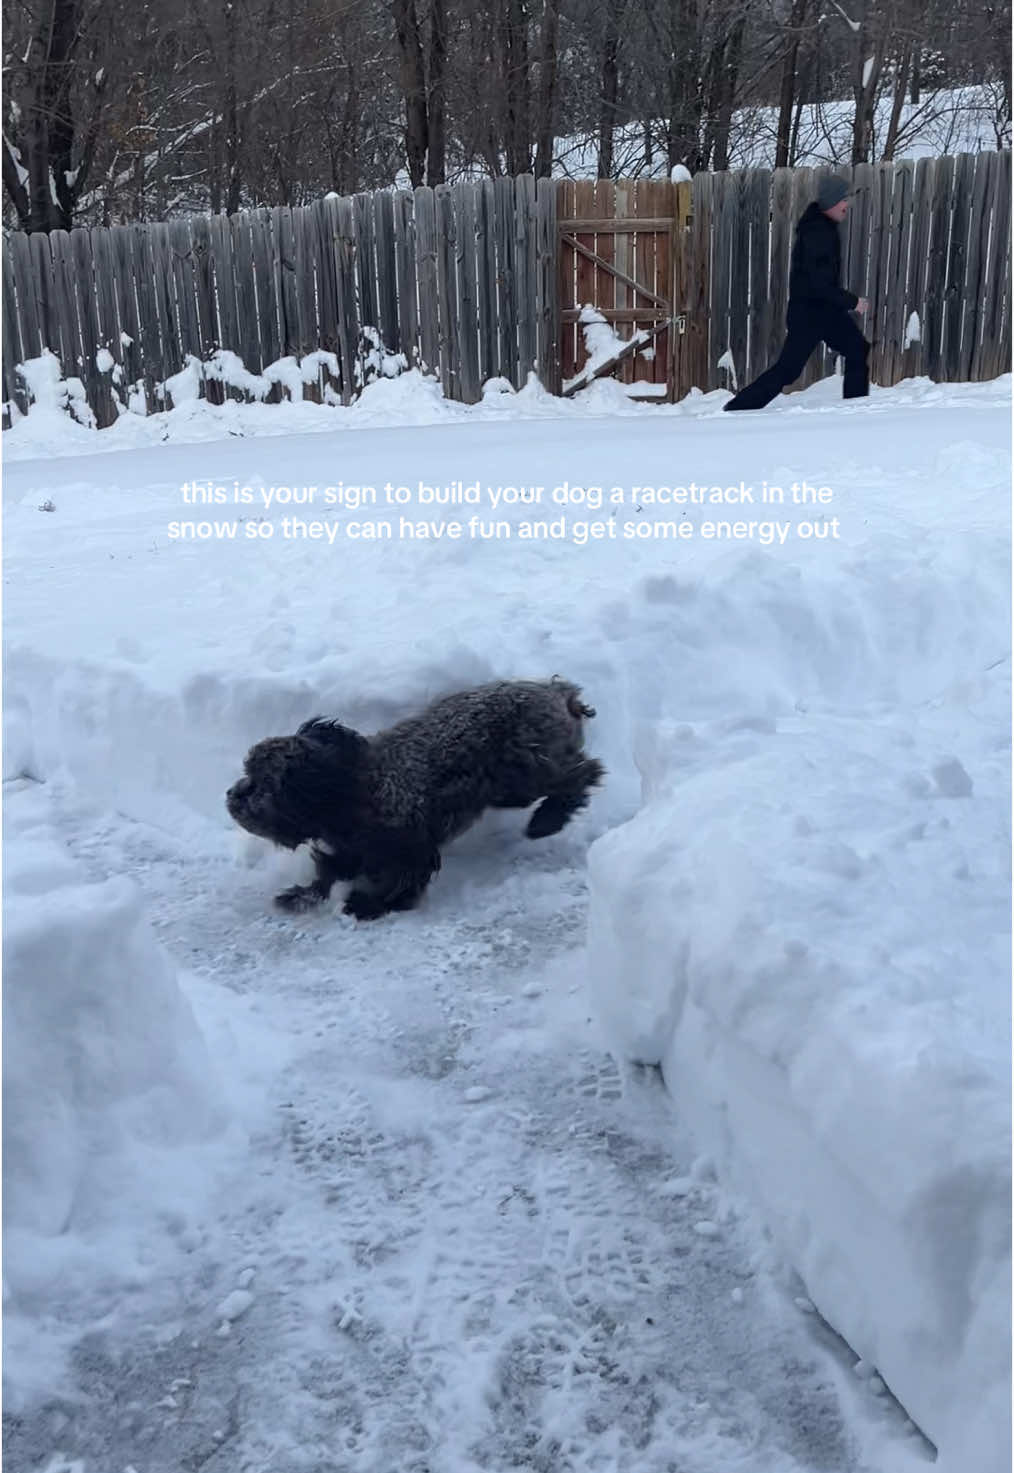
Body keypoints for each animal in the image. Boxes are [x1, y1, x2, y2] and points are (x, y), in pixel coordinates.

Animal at [226, 677, 607, 919]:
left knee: (585, 771)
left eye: (263, 784)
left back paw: (547, 821)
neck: (350, 789)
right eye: (248, 771)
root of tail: (555, 692)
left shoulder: (409, 846)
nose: (232, 795)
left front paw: (369, 904)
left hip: (523, 771)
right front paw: (301, 896)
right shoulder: (350, 848)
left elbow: (399, 879)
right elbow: (328, 872)